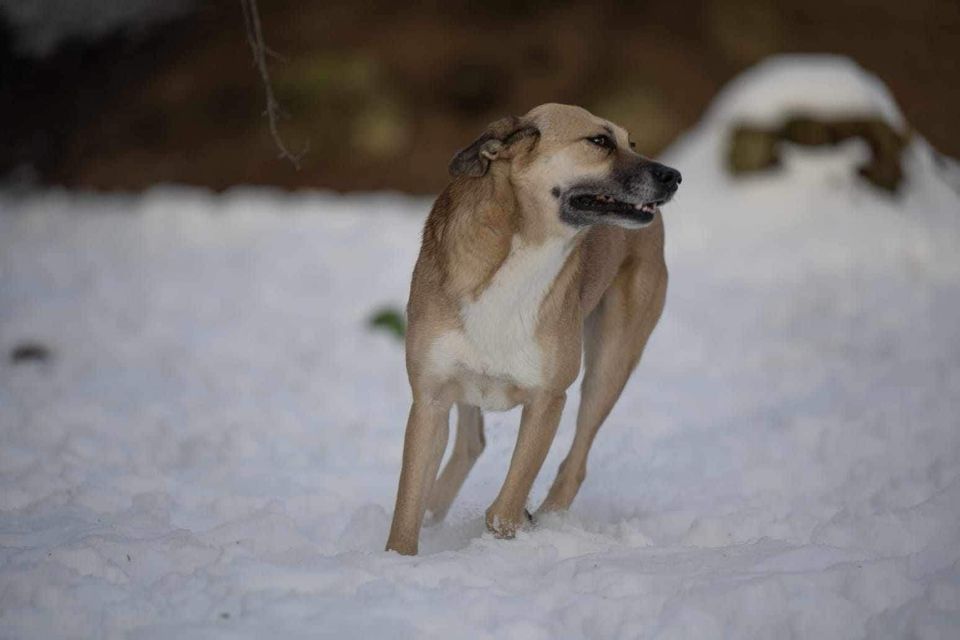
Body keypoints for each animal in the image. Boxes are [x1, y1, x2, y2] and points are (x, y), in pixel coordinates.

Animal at [386, 102, 680, 552]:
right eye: (600, 141)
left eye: (632, 143)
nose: (674, 176)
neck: (521, 253)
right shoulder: (430, 398)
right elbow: (406, 509)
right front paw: (397, 560)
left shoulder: (547, 400)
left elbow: (504, 508)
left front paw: (508, 536)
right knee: (470, 444)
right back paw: (436, 516)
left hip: (610, 364)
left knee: (576, 461)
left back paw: (549, 519)